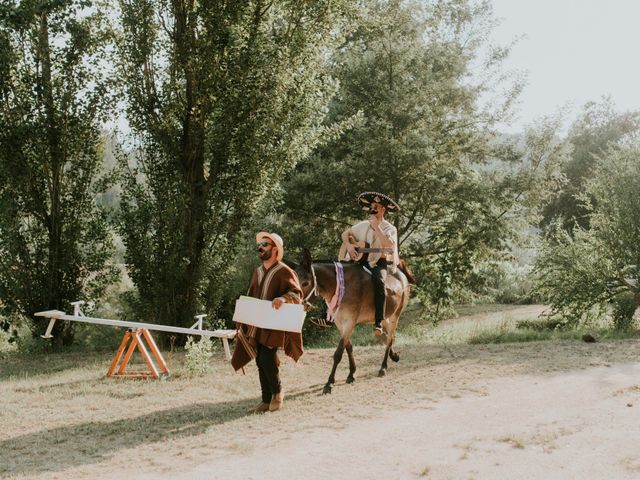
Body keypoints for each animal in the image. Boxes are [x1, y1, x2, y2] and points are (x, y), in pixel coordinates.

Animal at [292, 249, 412, 392]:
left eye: (305, 283)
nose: (296, 303)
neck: (340, 286)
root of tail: (401, 275)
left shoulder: (349, 322)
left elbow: (338, 353)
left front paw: (329, 383)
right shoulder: (340, 322)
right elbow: (348, 347)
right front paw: (351, 374)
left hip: (395, 315)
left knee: (389, 338)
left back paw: (383, 367)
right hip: (384, 316)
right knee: (390, 334)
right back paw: (393, 356)